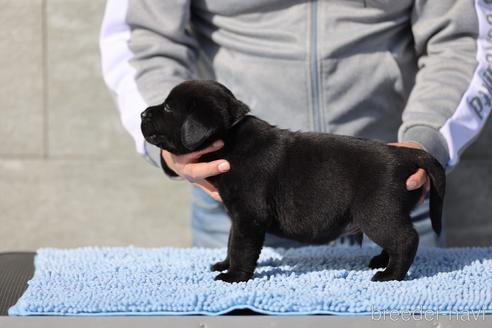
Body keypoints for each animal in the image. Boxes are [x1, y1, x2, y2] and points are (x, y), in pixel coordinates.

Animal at [139, 79, 446, 282]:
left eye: (168, 107)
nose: (142, 113)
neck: (230, 139)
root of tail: (405, 154)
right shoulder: (238, 216)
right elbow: (230, 241)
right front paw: (224, 265)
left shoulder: (249, 215)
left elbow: (241, 247)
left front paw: (234, 276)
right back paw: (381, 261)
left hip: (378, 212)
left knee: (406, 239)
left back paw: (390, 274)